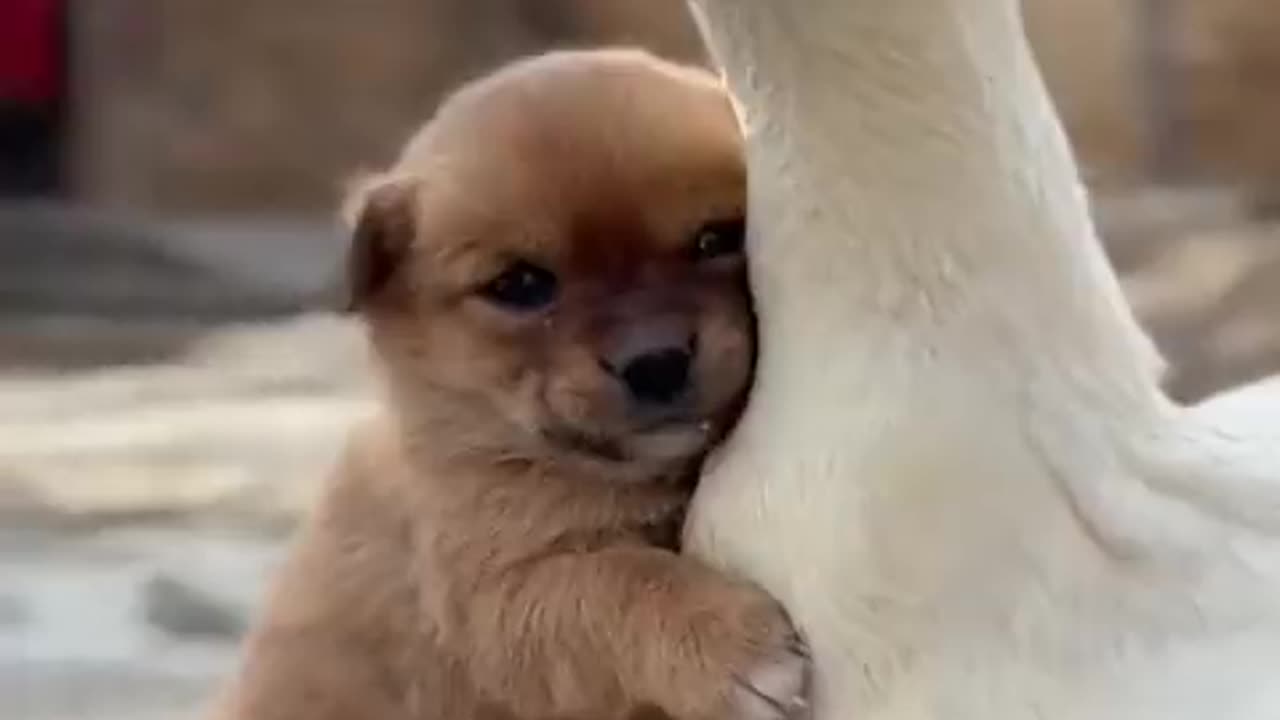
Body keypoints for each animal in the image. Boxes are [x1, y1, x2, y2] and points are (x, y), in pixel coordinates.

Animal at [213, 47, 803, 717]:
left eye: (715, 239)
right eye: (521, 285)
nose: (656, 362)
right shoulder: (499, 590)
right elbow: (618, 583)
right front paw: (731, 645)